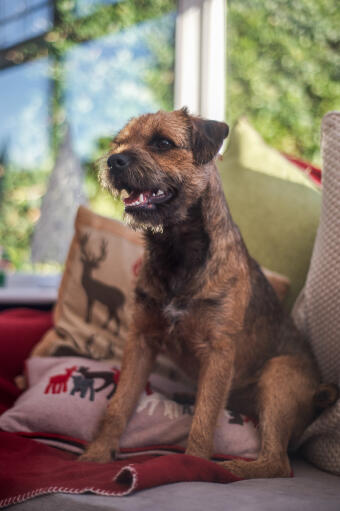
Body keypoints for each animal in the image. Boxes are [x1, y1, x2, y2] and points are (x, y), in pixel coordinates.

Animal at [79, 108, 322, 480]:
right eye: (119, 142)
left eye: (163, 143)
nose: (113, 160)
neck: (177, 252)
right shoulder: (141, 339)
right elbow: (119, 405)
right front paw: (97, 454)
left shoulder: (218, 352)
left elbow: (204, 419)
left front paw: (192, 464)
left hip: (278, 376)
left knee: (279, 463)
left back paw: (234, 469)